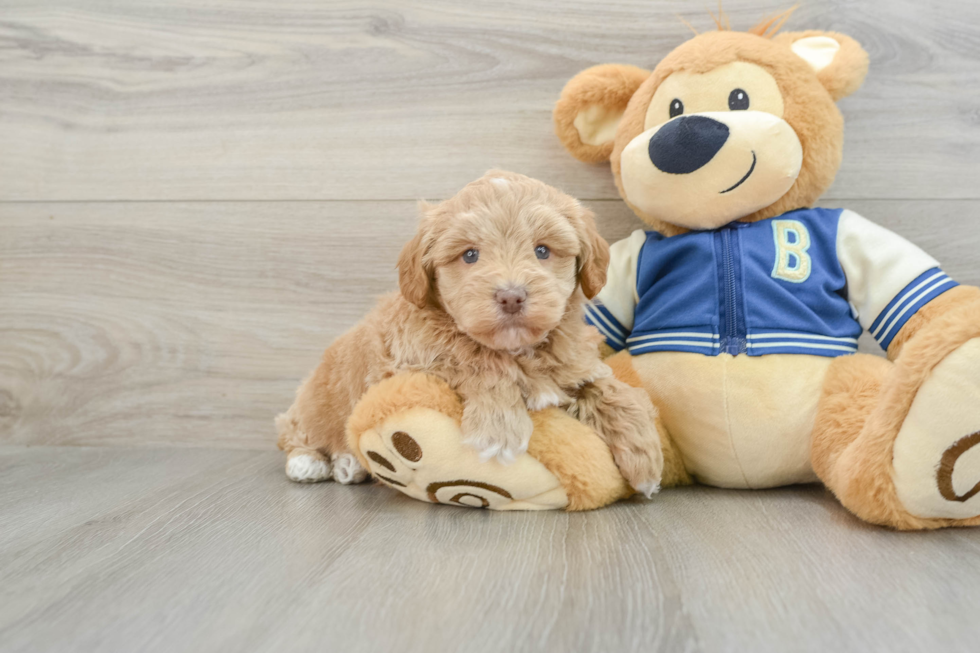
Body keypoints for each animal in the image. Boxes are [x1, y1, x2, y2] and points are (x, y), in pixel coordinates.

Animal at [272, 169, 664, 494]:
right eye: (470, 255)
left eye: (542, 250)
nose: (511, 296)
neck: (517, 350)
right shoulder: (410, 362)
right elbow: (474, 360)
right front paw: (499, 428)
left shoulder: (575, 365)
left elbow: (611, 389)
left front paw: (645, 456)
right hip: (313, 405)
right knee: (293, 431)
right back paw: (314, 462)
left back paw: (349, 463)